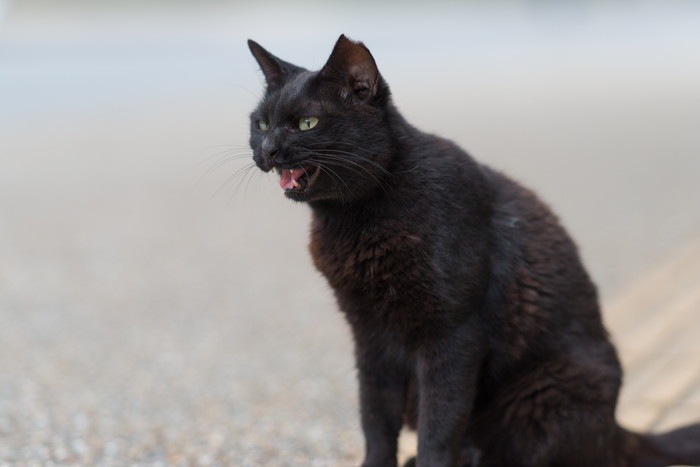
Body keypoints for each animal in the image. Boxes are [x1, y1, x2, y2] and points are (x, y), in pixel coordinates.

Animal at [246, 34, 700, 466]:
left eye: (306, 123)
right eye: (262, 122)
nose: (267, 150)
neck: (355, 217)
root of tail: (618, 431)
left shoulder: (453, 334)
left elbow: (440, 424)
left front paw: (430, 459)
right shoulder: (369, 337)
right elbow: (375, 419)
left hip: (550, 389)